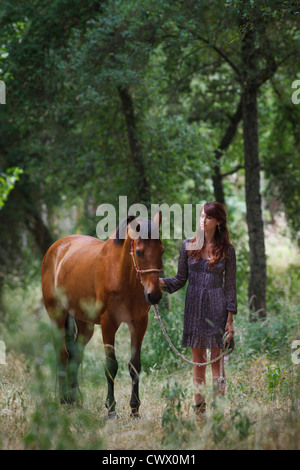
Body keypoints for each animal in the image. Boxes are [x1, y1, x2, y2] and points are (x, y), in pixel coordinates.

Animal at [40, 211, 163, 416]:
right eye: (139, 252)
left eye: (161, 250)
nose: (154, 295)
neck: (121, 275)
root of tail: (57, 248)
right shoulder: (108, 324)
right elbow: (111, 365)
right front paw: (111, 409)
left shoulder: (139, 323)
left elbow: (135, 365)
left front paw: (135, 410)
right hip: (57, 315)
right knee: (62, 353)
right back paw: (64, 400)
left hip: (85, 324)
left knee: (74, 355)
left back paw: (74, 401)